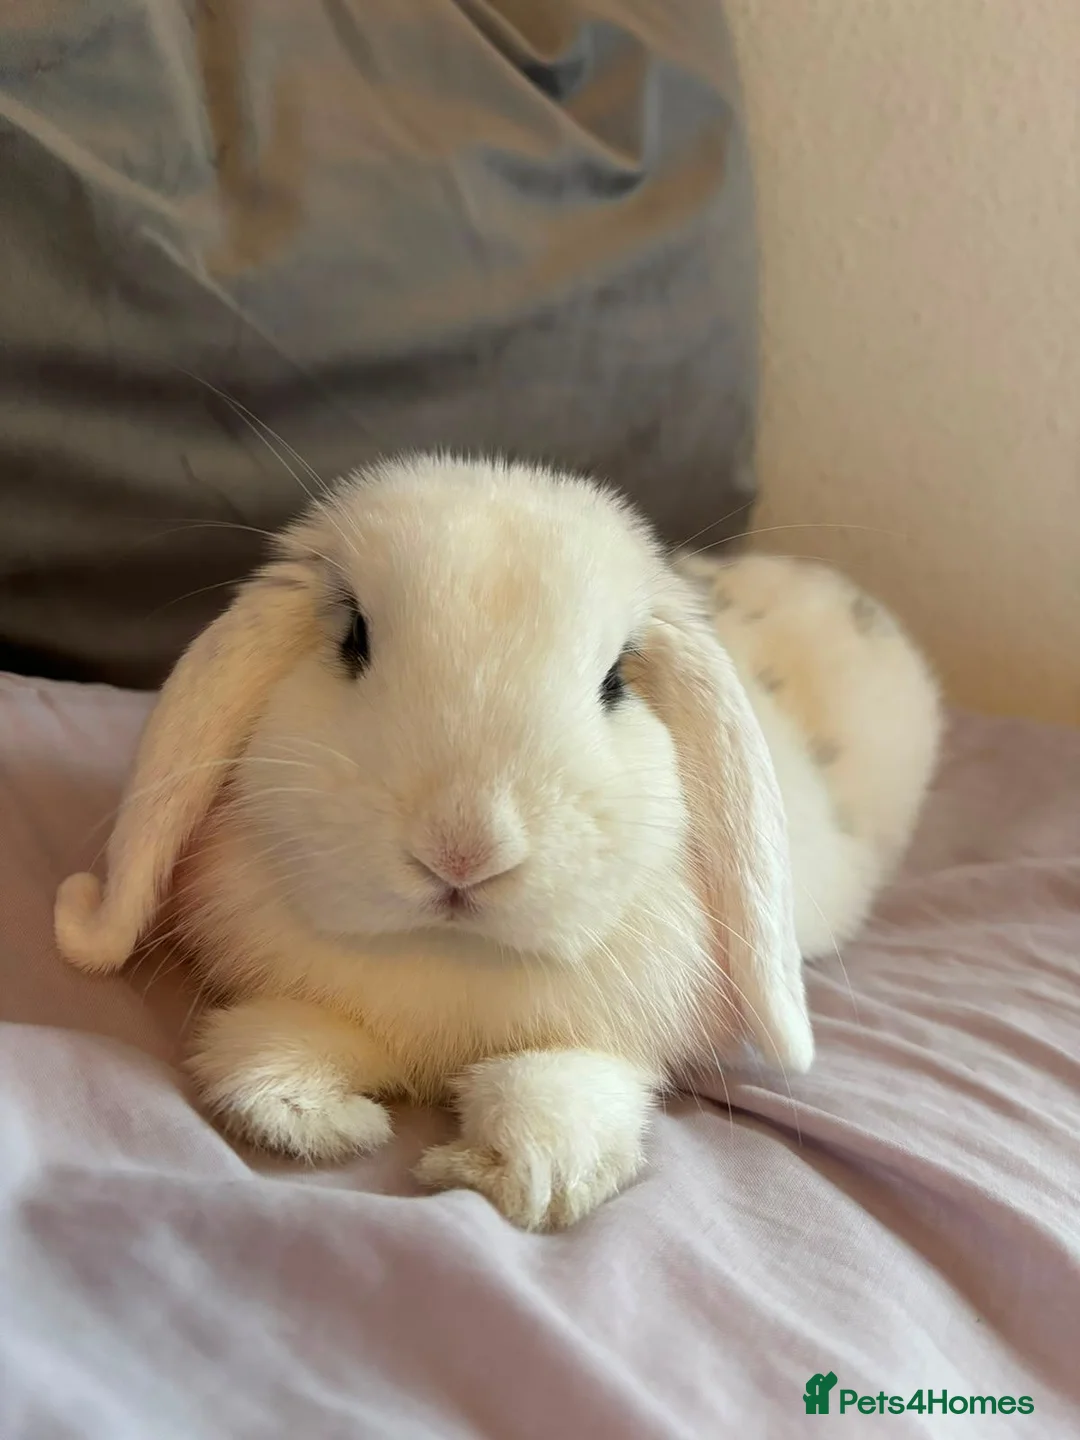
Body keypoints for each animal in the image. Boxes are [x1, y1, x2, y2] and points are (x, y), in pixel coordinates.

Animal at [54, 455, 941, 1231]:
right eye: (353, 638)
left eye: (615, 680)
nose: (464, 851)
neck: (451, 956)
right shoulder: (301, 1006)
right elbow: (265, 1056)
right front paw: (335, 1125)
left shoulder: (599, 1049)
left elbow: (554, 1101)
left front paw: (502, 1176)